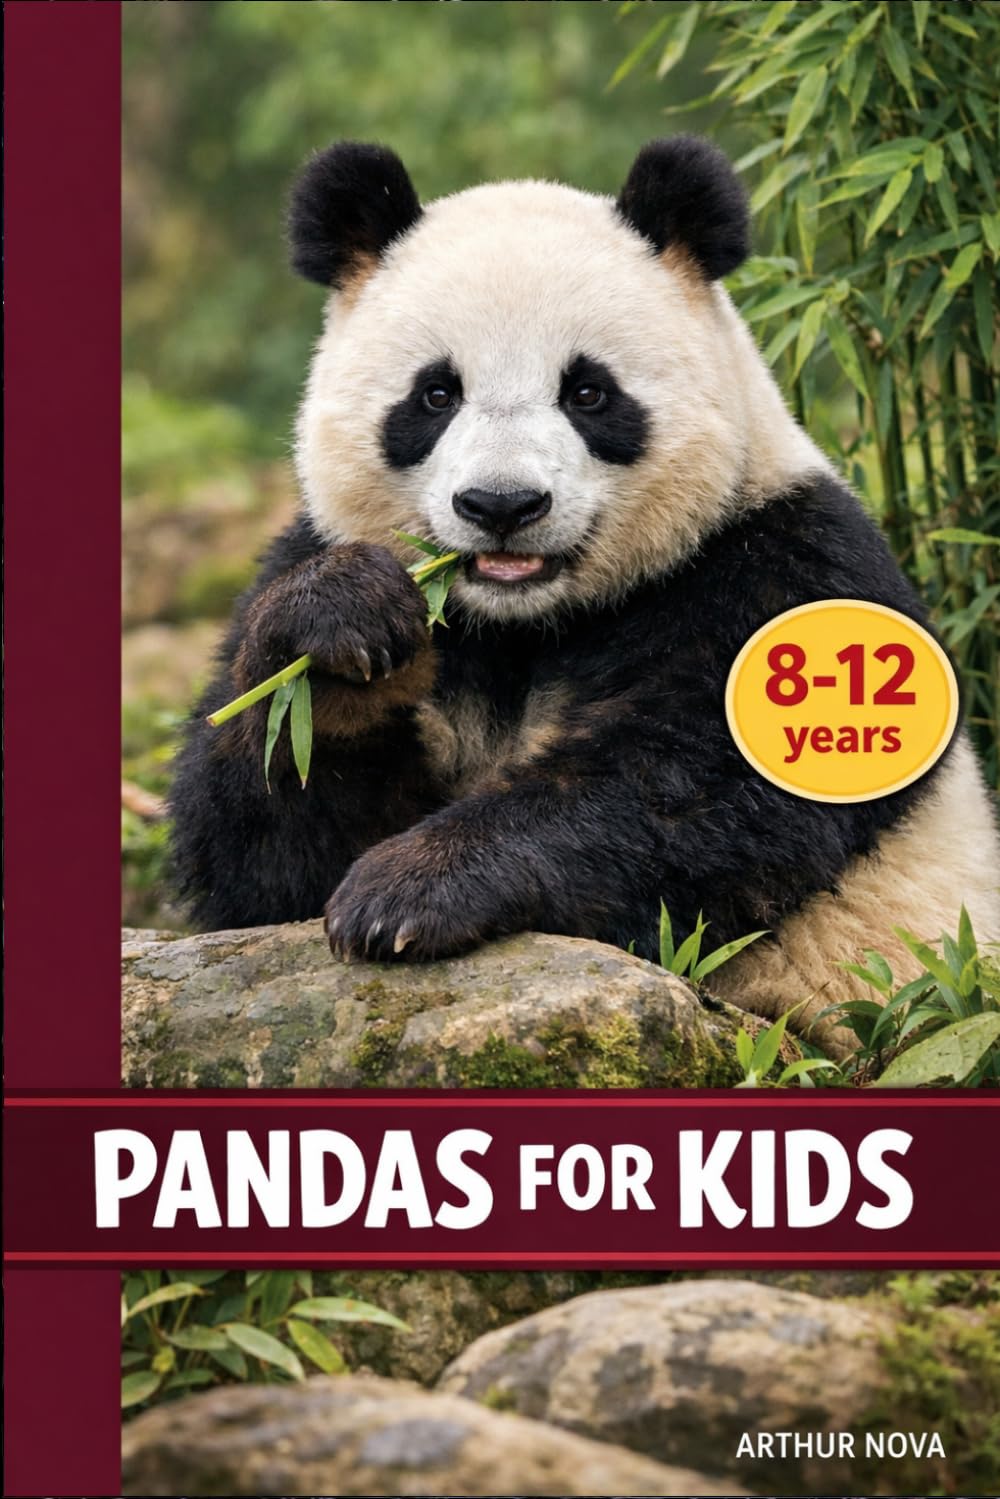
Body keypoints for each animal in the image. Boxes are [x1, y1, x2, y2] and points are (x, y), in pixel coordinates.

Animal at [169, 136, 1000, 1052]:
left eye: (589, 392)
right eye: (436, 393)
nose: (501, 506)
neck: (524, 626)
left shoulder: (776, 566)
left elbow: (692, 791)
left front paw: (407, 891)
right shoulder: (321, 554)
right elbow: (261, 853)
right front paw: (343, 640)